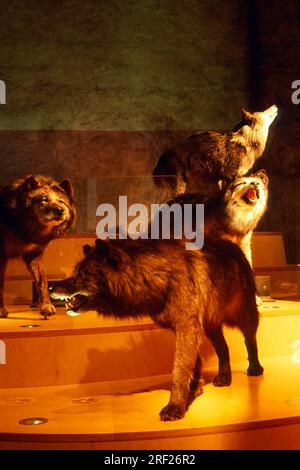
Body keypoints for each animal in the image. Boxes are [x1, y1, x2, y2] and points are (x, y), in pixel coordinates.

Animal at [0, 174, 75, 318]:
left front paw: (46, 306)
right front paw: (1, 310)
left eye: (61, 202)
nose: (60, 210)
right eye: (44, 199)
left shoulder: (35, 256)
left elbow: (42, 281)